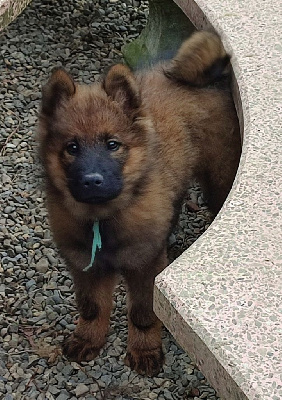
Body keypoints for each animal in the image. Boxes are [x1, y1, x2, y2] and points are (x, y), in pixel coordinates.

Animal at [38, 32, 240, 378]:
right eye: (72, 148)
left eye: (112, 145)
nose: (92, 180)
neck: (103, 218)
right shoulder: (84, 264)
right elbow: (91, 307)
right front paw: (87, 339)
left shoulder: (144, 266)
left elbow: (142, 314)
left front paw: (144, 350)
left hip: (219, 178)